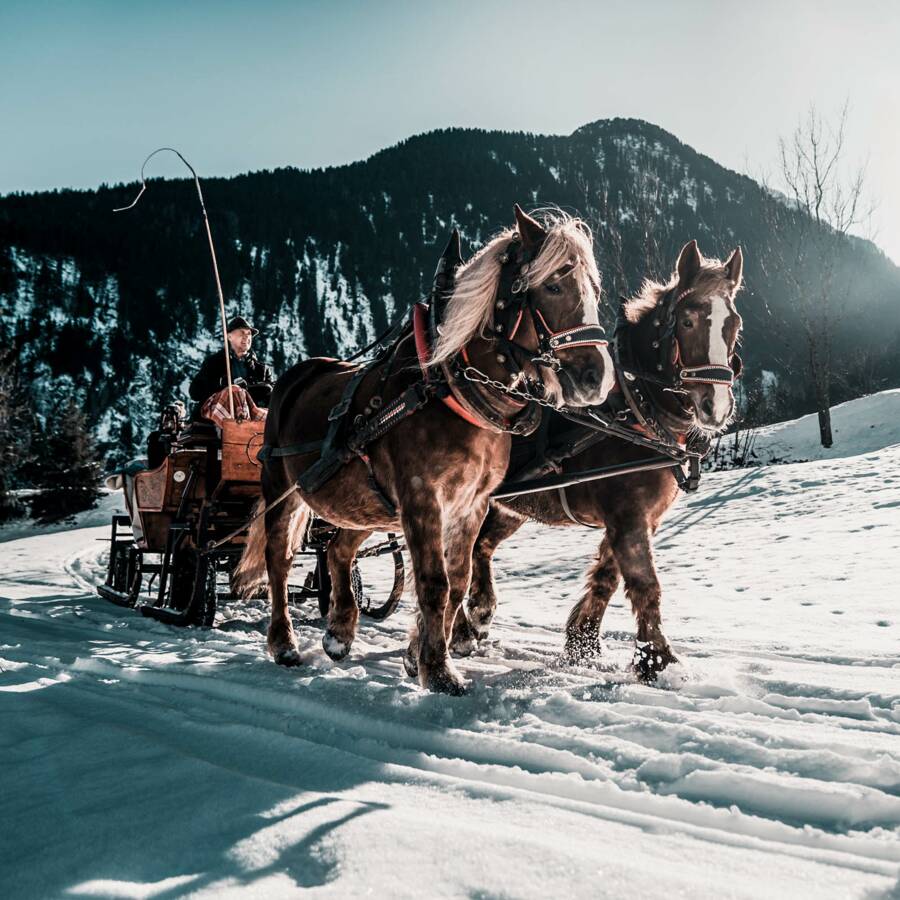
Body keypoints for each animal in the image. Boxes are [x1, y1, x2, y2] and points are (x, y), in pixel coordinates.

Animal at [237, 206, 620, 696]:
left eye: (593, 289)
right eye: (553, 285)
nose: (596, 377)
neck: (451, 388)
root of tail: (293, 377)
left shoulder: (471, 504)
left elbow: (457, 581)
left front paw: (421, 655)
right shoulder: (422, 498)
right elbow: (434, 584)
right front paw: (438, 670)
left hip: (368, 504)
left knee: (338, 550)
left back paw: (339, 633)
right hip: (283, 489)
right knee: (279, 561)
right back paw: (283, 643)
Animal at [450, 241, 744, 684]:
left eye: (734, 325)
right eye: (688, 320)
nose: (716, 407)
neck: (634, 408)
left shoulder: (637, 517)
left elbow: (607, 576)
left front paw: (582, 642)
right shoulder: (627, 514)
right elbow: (644, 582)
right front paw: (658, 660)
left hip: (507, 507)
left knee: (479, 548)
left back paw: (480, 612)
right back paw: (461, 630)